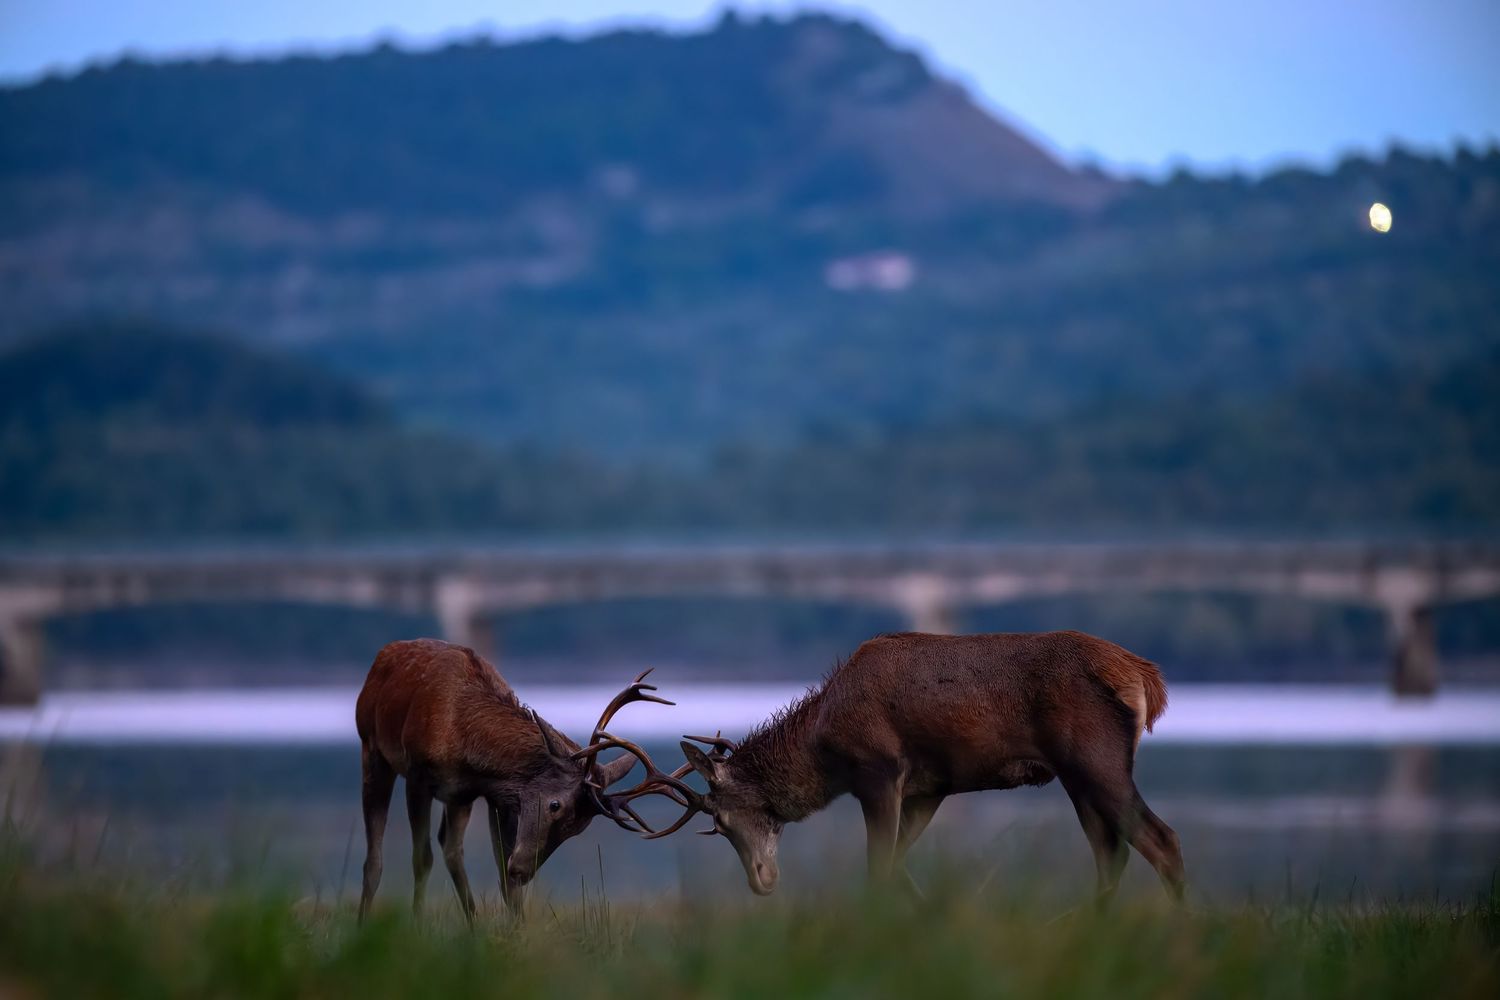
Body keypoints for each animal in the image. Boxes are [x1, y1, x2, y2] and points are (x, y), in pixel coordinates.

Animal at [354, 638, 678, 923]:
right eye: (555, 804)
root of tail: (382, 655)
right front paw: (416, 925)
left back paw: (474, 926)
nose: (522, 871)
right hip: (372, 748)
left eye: (578, 828)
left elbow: (503, 875)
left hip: (457, 798)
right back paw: (362, 922)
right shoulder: (418, 774)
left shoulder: (497, 796)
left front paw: (515, 932)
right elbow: (421, 859)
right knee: (375, 856)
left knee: (451, 848)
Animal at [604, 630, 1187, 904]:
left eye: (722, 820)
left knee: (1160, 839)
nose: (761, 881)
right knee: (1111, 853)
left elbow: (878, 868)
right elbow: (900, 866)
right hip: (1076, 776)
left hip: (1092, 759)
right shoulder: (930, 789)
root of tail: (1144, 676)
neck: (823, 751)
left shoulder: (879, 773)